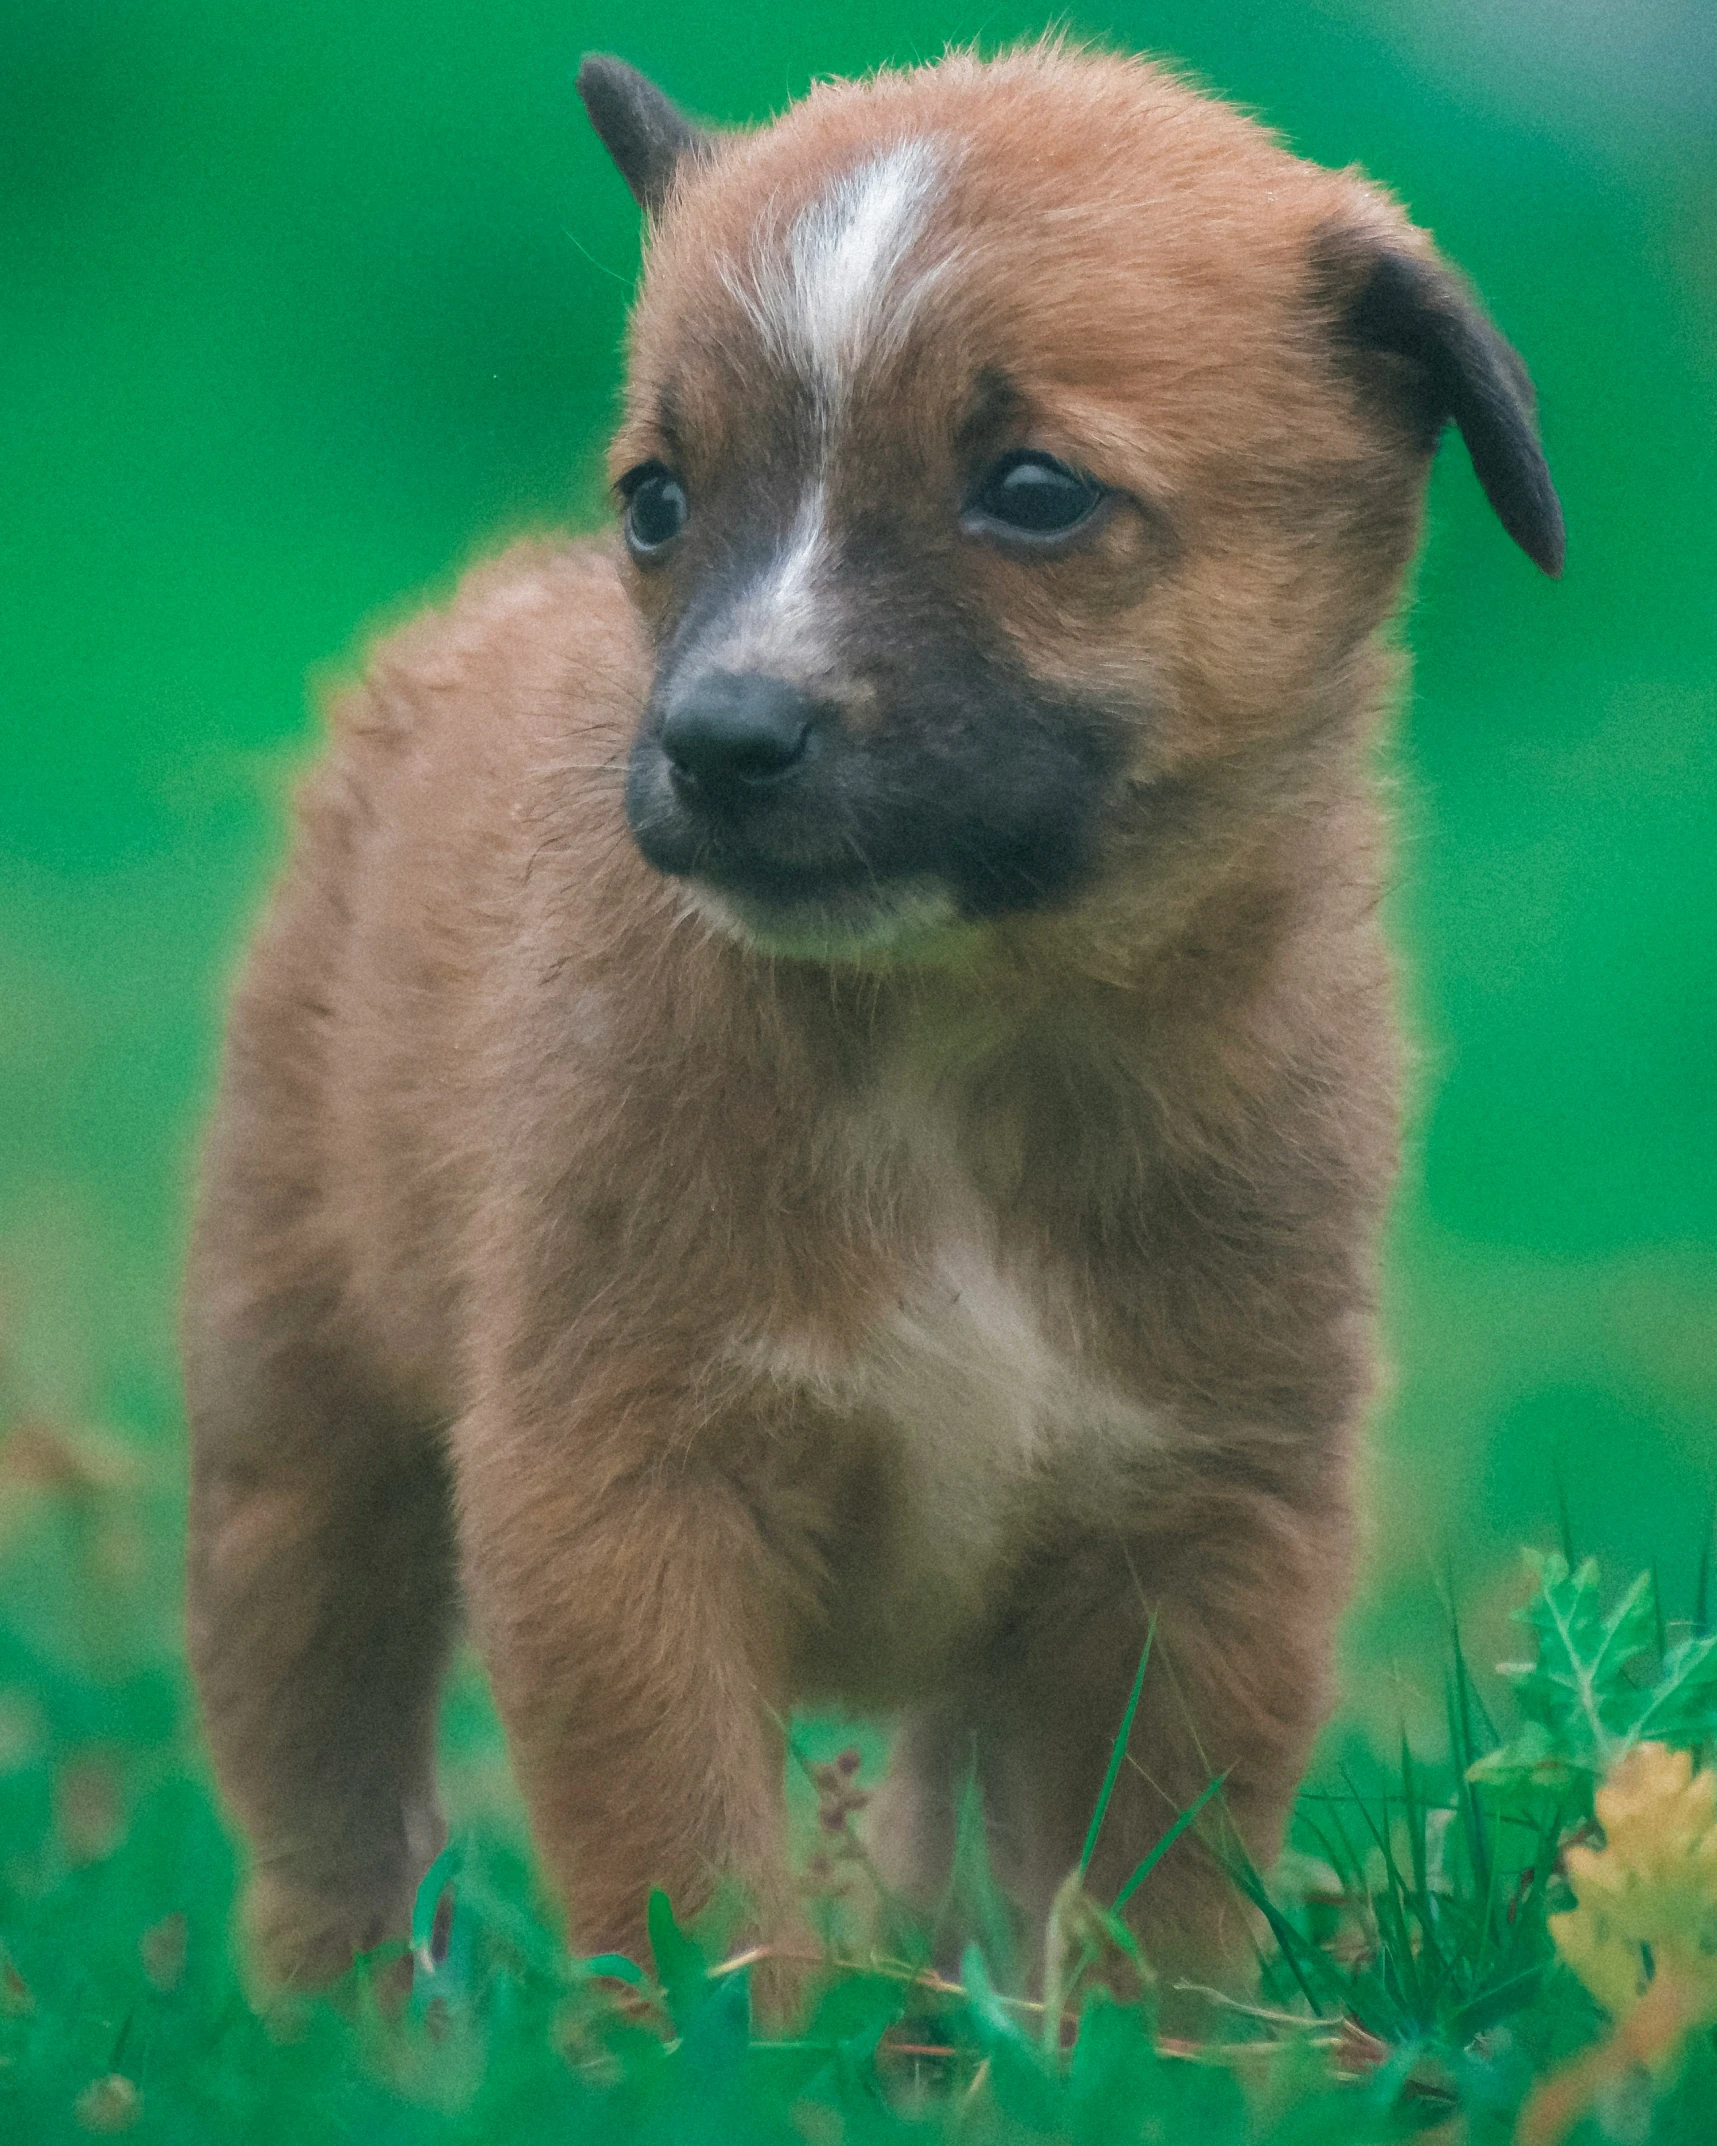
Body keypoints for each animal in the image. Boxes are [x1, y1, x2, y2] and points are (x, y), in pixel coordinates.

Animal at [184, 37, 1553, 2008]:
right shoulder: (619, 1501)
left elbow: (1148, 1895)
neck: (958, 1045)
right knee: (323, 1777)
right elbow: (684, 1875)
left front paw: (1143, 2054)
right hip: (299, 1437)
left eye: (1034, 491)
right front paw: (715, 2053)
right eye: (658, 500)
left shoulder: (1209, 1525)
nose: (718, 740)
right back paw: (346, 2030)